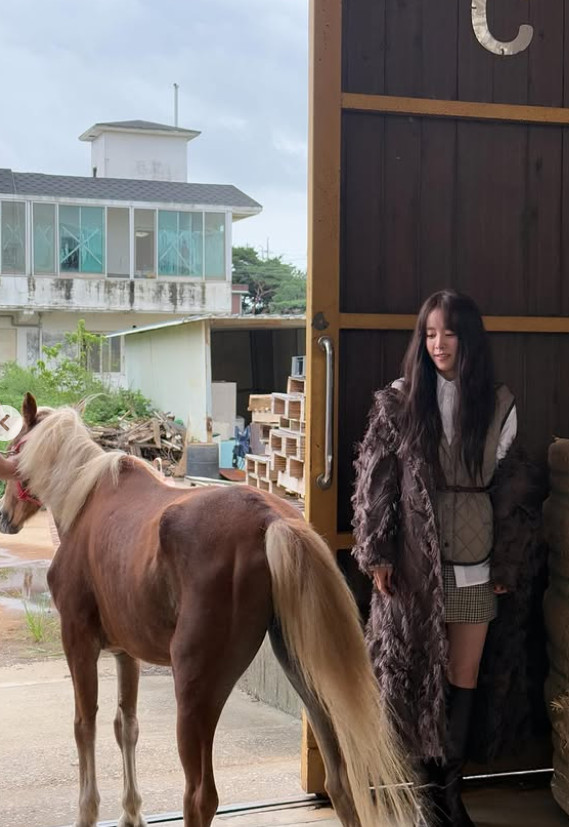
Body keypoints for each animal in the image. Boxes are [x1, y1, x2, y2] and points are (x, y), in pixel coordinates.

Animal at [0, 394, 420, 827]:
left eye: (13, 449)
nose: (4, 517)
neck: (84, 501)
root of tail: (270, 519)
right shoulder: (125, 653)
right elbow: (126, 725)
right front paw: (132, 813)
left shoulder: (78, 641)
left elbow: (85, 726)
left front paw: (89, 812)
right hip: (303, 670)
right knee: (340, 779)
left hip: (195, 687)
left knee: (200, 796)